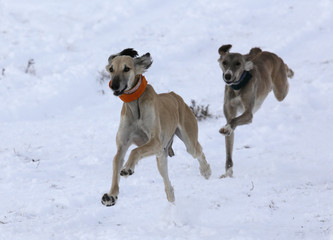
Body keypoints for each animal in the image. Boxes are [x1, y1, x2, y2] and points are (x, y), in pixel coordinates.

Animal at [100, 48, 210, 206]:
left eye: (126, 68)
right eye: (111, 69)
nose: (114, 86)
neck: (135, 103)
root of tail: (174, 96)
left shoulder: (155, 142)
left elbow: (134, 151)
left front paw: (127, 168)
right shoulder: (123, 146)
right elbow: (116, 162)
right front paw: (111, 195)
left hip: (188, 141)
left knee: (198, 151)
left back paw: (206, 170)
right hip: (161, 156)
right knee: (167, 182)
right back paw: (171, 198)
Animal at [218, 44, 294, 177]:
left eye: (238, 63)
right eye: (224, 62)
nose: (227, 76)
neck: (237, 87)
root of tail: (273, 55)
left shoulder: (248, 113)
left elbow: (234, 121)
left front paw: (227, 128)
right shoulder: (230, 112)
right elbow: (228, 148)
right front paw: (228, 173)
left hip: (280, 92)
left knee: (285, 79)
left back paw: (289, 72)